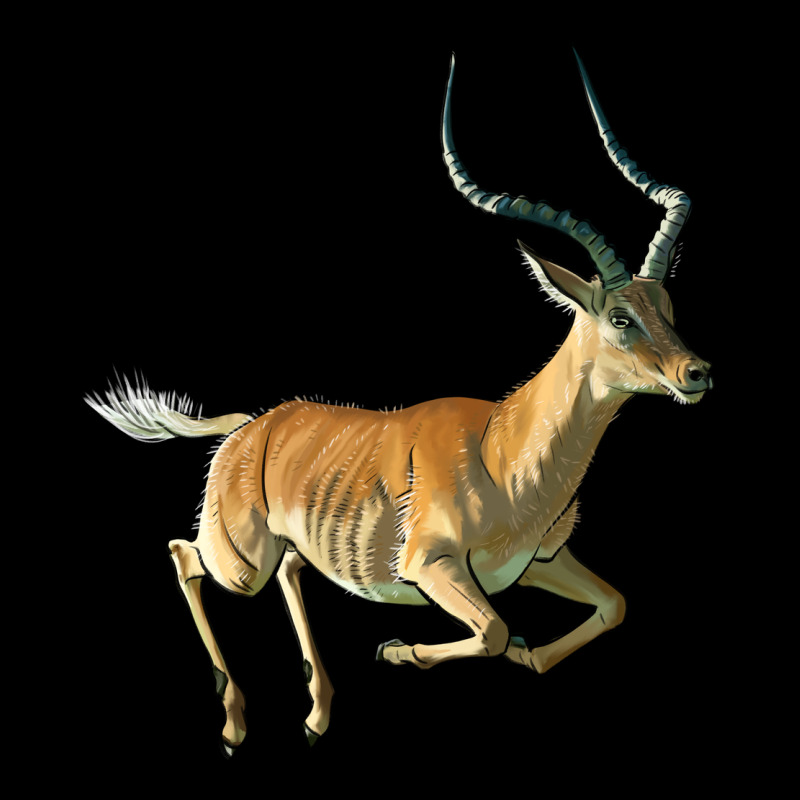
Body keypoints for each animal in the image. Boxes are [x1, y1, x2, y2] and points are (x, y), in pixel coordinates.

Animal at [86, 52, 710, 756]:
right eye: (620, 317)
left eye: (669, 307)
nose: (697, 373)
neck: (505, 456)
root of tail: (251, 426)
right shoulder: (432, 567)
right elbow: (493, 631)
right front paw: (394, 650)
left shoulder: (539, 562)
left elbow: (612, 605)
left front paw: (524, 654)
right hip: (239, 560)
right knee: (181, 554)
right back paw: (235, 724)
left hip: (278, 552)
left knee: (290, 570)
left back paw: (316, 715)